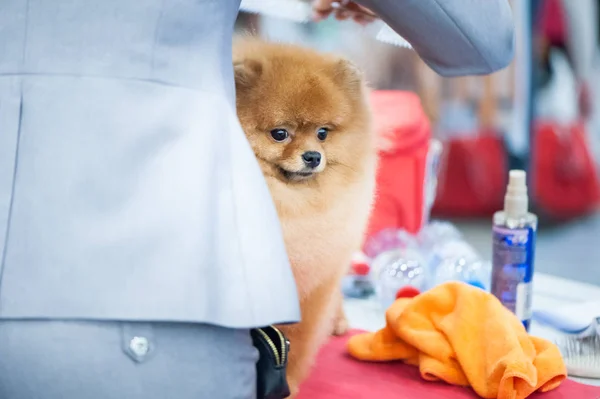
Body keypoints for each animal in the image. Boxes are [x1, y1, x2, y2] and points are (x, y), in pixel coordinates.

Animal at [233, 36, 376, 396]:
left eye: (323, 133)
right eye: (279, 133)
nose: (313, 156)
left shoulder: (313, 284)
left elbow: (298, 339)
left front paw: (291, 385)